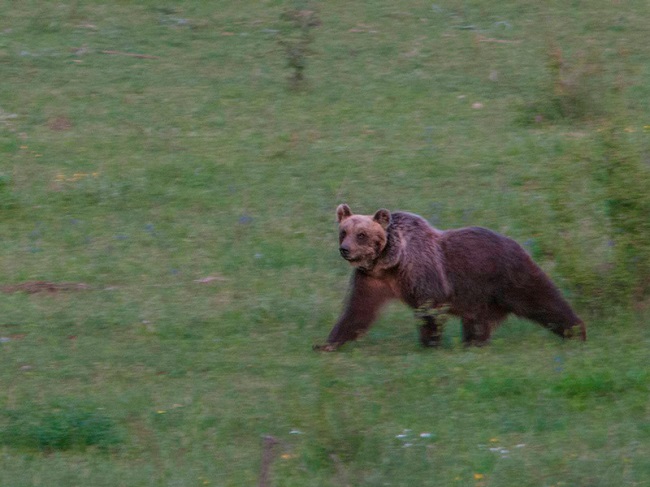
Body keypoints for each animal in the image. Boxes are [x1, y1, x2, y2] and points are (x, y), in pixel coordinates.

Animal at [314, 204, 586, 351]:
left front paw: (429, 343)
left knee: (542, 299)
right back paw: (474, 343)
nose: (345, 249)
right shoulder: (371, 280)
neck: (389, 263)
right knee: (477, 321)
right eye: (344, 232)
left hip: (507, 275)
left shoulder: (423, 273)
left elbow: (430, 307)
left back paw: (576, 331)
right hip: (479, 296)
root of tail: (516, 242)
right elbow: (357, 312)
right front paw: (327, 344)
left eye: (361, 234)